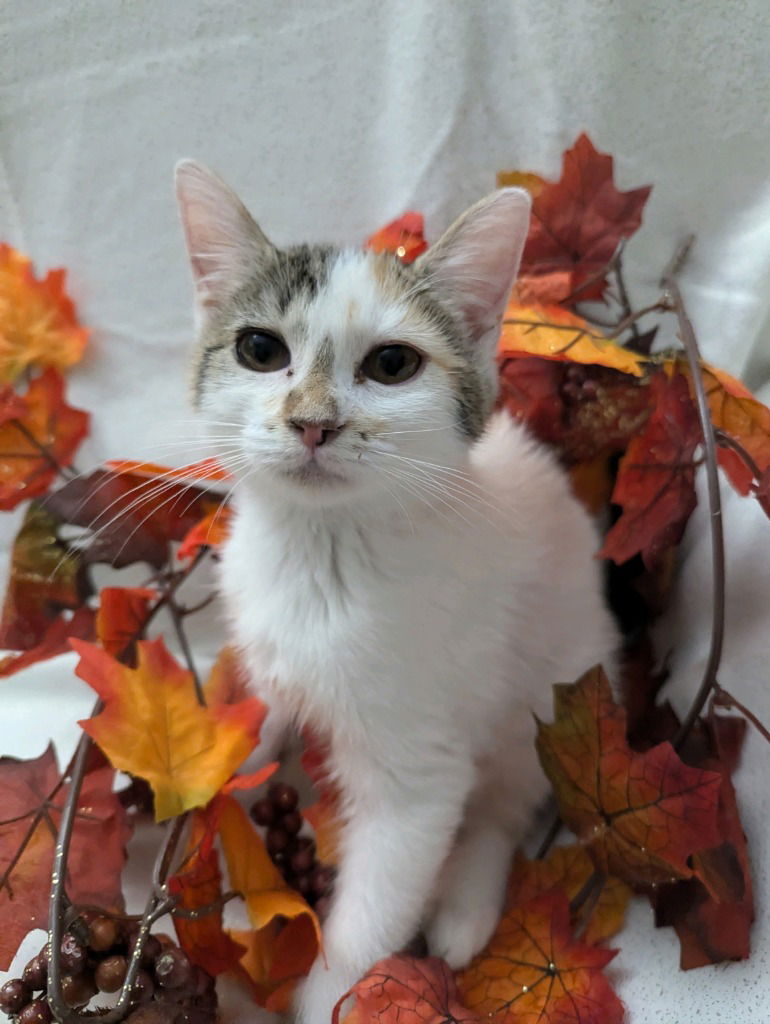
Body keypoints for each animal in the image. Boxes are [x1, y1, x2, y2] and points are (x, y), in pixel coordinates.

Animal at [174, 161, 618, 1024]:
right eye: (259, 349)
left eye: (391, 366)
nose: (312, 422)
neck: (321, 555)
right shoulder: (270, 649)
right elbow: (261, 713)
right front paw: (224, 763)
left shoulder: (418, 776)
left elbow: (369, 916)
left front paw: (331, 995)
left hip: (553, 692)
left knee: (504, 803)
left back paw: (465, 912)